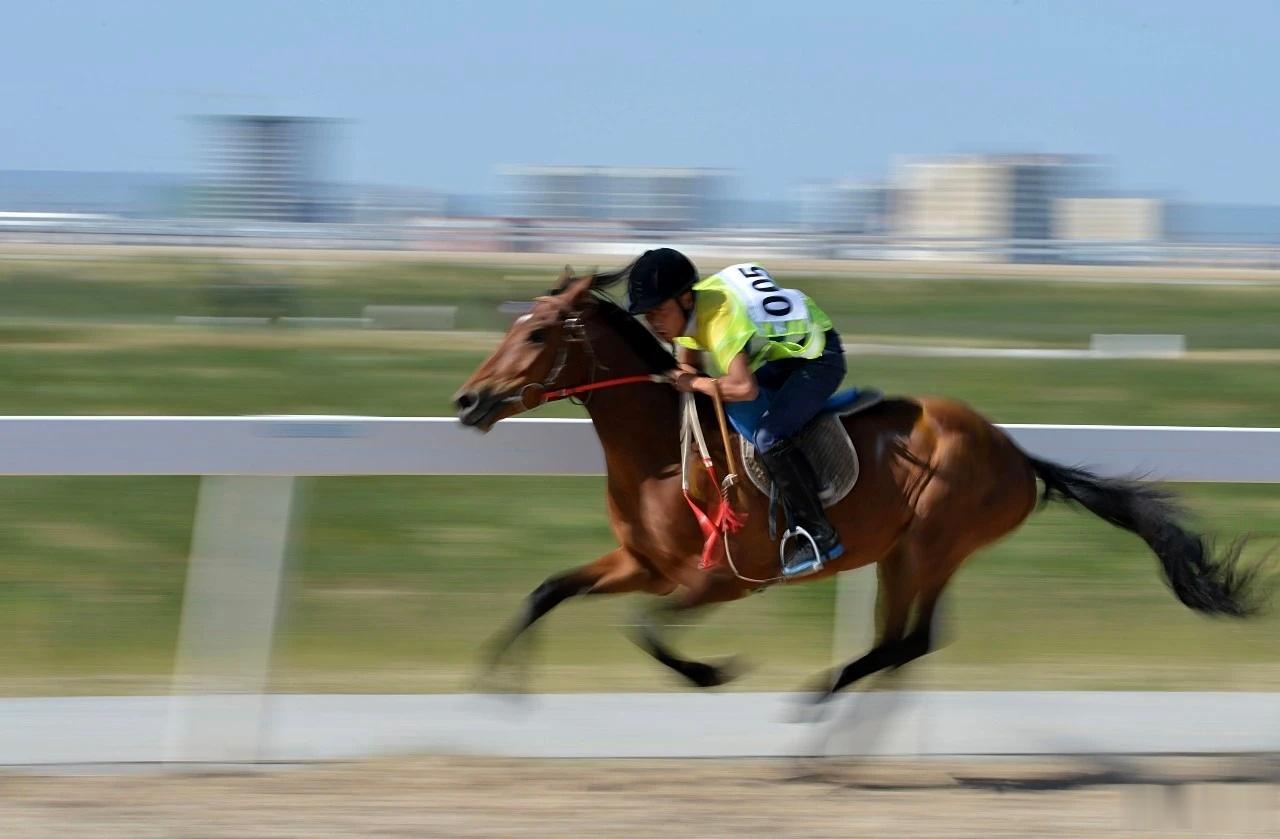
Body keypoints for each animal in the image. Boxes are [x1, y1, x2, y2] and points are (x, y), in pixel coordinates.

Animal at [453, 268, 1263, 700]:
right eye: (511, 324)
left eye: (535, 334)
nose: (468, 400)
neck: (660, 454)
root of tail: (1016, 453)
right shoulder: (643, 564)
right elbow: (548, 591)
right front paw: (496, 683)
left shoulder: (725, 579)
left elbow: (646, 629)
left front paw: (716, 671)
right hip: (907, 554)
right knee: (906, 639)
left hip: (931, 544)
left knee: (912, 640)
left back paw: (816, 701)